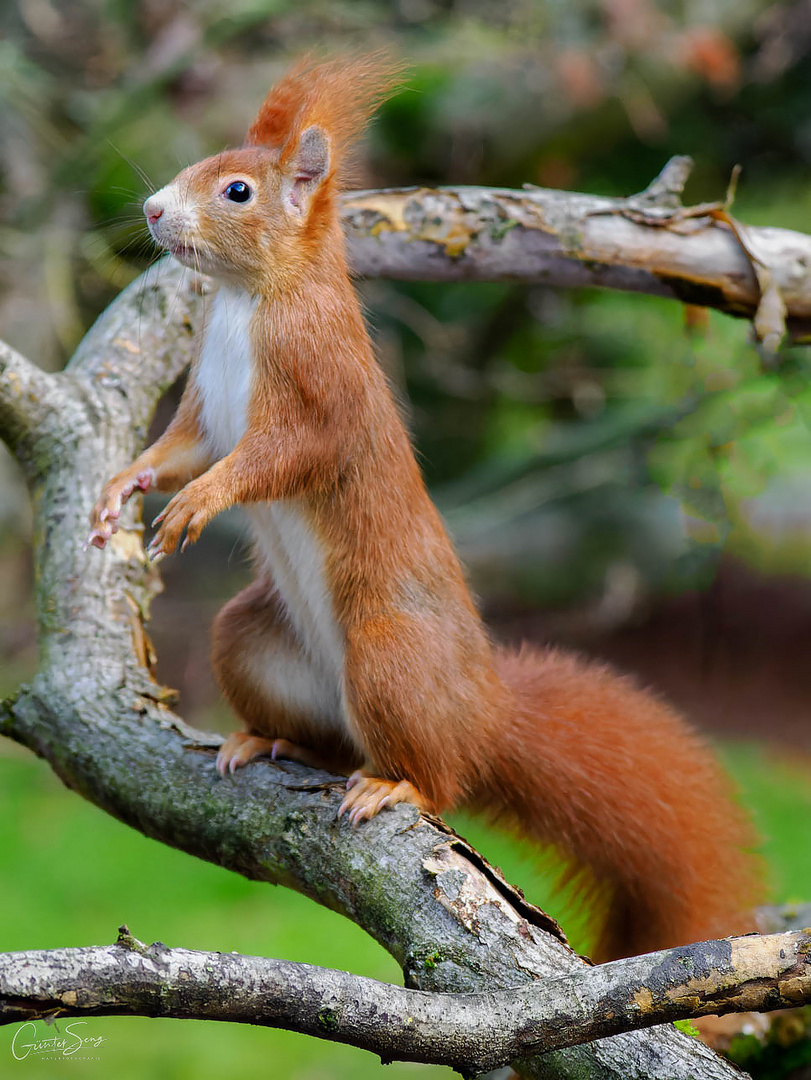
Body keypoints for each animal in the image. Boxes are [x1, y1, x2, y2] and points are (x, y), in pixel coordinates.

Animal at [85, 54, 764, 959]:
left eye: (237, 191)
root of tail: (484, 714)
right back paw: (266, 737)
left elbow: (278, 457)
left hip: (389, 655)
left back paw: (395, 788)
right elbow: (178, 450)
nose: (154, 209)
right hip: (253, 638)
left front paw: (202, 501)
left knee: (441, 776)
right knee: (323, 738)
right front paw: (121, 488)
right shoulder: (204, 408)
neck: (244, 303)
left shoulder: (319, 384)